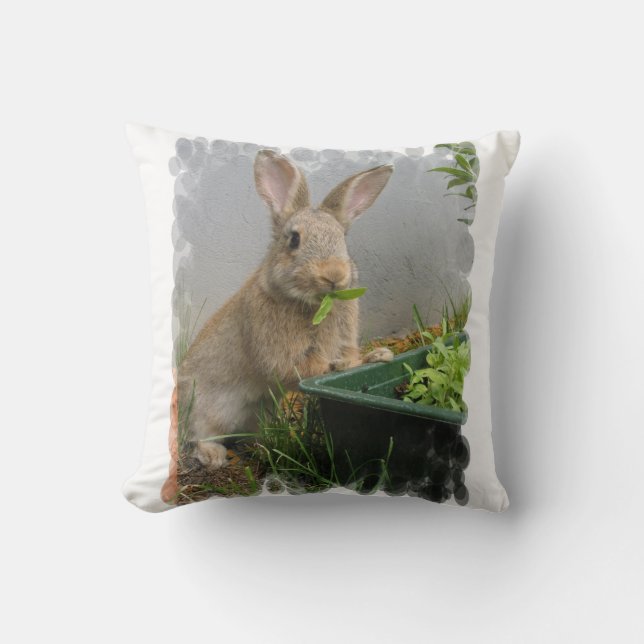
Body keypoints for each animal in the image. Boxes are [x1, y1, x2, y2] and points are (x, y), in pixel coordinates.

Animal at [178, 150, 395, 469]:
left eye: (342, 238)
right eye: (294, 239)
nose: (333, 274)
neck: (313, 303)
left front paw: (380, 355)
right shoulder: (279, 351)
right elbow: (306, 368)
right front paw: (352, 365)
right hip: (202, 409)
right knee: (198, 435)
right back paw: (213, 455)